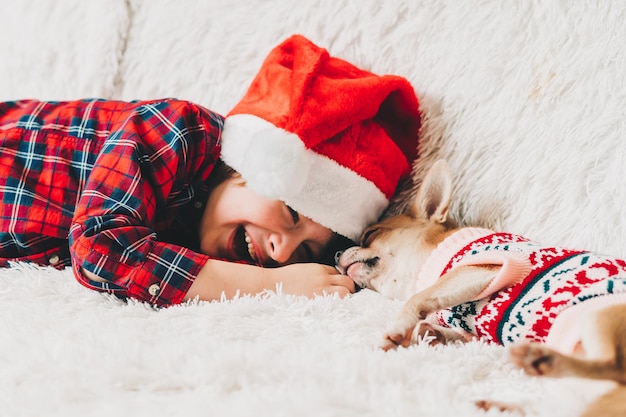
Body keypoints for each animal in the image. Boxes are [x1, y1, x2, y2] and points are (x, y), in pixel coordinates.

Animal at [336, 158, 624, 412]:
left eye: (370, 234)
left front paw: (399, 328)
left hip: (598, 317)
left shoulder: (489, 268)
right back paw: (501, 404)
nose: (336, 254)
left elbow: (418, 297)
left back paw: (543, 361)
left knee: (616, 367)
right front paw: (429, 332)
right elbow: (456, 331)